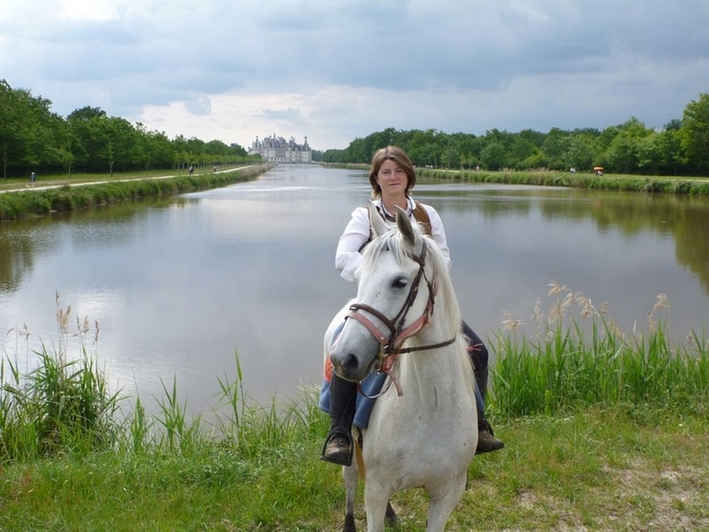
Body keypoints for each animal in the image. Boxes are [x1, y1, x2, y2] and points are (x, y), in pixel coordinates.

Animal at [324, 204, 478, 532]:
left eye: (399, 282)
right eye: (360, 277)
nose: (343, 359)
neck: (431, 406)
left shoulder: (447, 495)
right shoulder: (377, 490)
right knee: (351, 476)